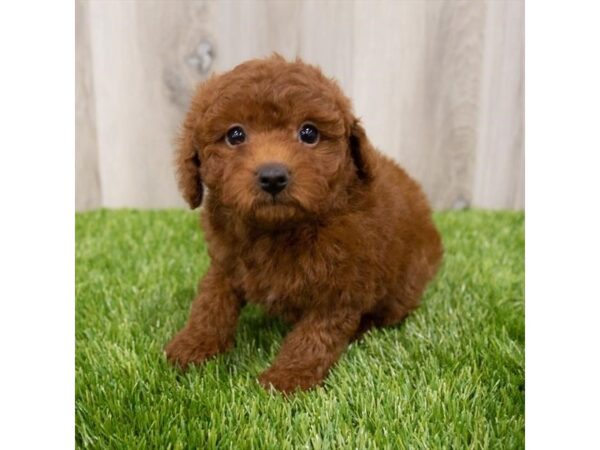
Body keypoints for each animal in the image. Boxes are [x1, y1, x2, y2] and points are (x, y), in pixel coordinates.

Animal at [164, 55, 440, 394]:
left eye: (309, 133)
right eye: (235, 135)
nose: (273, 176)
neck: (278, 229)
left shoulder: (340, 288)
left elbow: (312, 336)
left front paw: (287, 378)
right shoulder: (226, 261)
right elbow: (211, 302)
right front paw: (193, 345)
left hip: (405, 285)